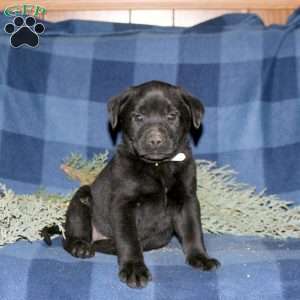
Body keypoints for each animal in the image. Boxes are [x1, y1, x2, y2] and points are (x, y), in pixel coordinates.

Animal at [62, 80, 220, 288]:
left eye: (172, 116)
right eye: (138, 116)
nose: (155, 140)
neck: (157, 166)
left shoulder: (187, 200)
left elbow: (193, 230)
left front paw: (200, 257)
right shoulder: (124, 204)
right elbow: (129, 239)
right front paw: (134, 269)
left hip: (159, 237)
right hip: (81, 199)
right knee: (71, 235)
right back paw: (80, 246)